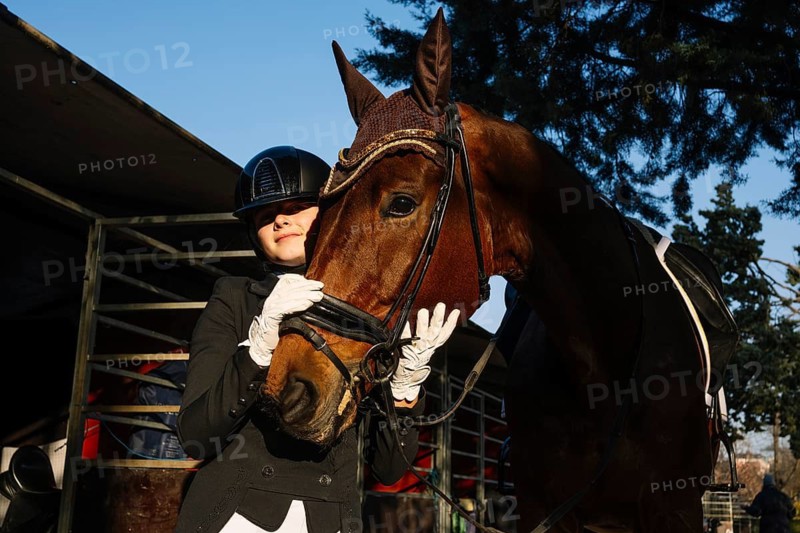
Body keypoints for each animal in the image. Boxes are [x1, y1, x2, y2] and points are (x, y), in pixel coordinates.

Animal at [262, 9, 738, 532]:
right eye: (320, 216)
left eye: (401, 203)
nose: (289, 388)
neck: (603, 369)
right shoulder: (541, 508)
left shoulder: (675, 508)